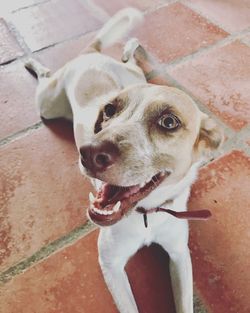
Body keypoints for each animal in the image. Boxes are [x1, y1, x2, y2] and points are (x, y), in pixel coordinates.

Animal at [24, 7, 223, 312]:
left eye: (169, 121)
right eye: (108, 110)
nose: (88, 153)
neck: (147, 214)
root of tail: (89, 54)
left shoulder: (180, 254)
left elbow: (184, 302)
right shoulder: (111, 264)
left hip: (134, 74)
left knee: (128, 60)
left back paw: (132, 45)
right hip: (47, 103)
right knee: (46, 75)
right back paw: (34, 62)